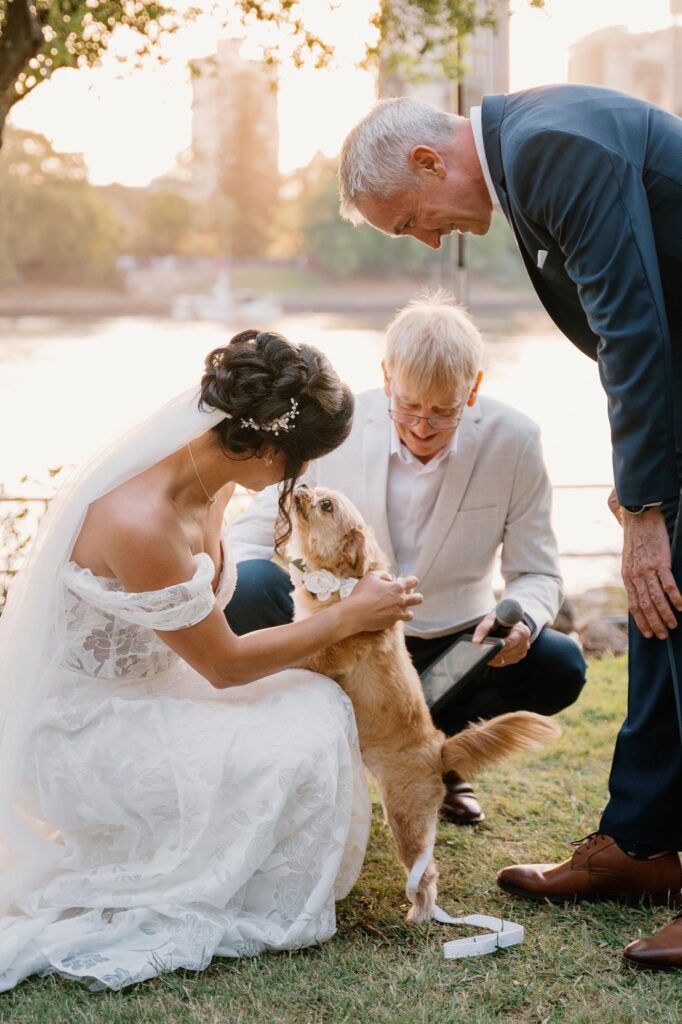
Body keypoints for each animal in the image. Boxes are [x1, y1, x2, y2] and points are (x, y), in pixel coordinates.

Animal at [288, 483, 561, 925]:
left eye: (326, 506)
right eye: (316, 490)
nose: (301, 486)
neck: (343, 586)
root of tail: (440, 747)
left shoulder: (327, 651)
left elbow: (300, 653)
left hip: (405, 818)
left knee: (425, 873)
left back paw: (418, 913)